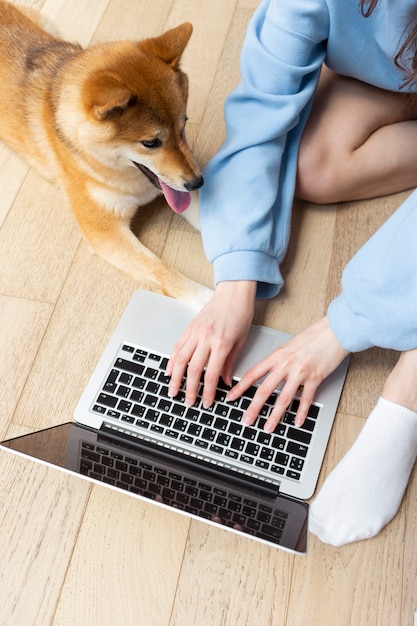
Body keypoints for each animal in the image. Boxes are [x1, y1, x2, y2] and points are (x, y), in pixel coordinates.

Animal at [0, 0, 210, 308]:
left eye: (184, 124)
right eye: (150, 142)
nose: (198, 182)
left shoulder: (174, 186)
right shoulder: (106, 233)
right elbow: (161, 270)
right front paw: (207, 298)